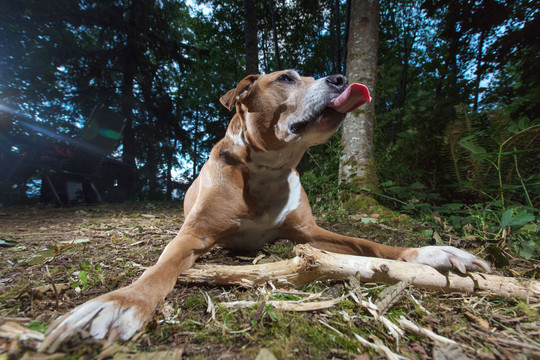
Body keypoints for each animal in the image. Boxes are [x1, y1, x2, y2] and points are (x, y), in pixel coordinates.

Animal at [40, 70, 492, 352]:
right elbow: (161, 266)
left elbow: (368, 243)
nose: (341, 79)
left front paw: (430, 253)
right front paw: (122, 301)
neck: (269, 169)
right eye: (286, 78)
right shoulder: (195, 234)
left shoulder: (310, 233)